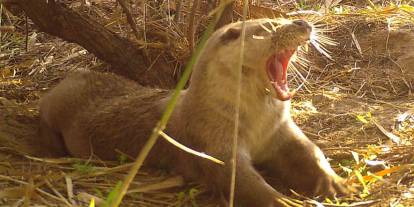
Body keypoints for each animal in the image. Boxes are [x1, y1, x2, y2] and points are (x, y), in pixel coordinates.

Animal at [38, 18, 350, 206]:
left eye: (287, 16)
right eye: (270, 25)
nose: (302, 21)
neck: (253, 122)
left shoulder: (282, 131)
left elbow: (311, 152)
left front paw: (336, 184)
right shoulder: (211, 144)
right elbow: (241, 180)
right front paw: (283, 200)